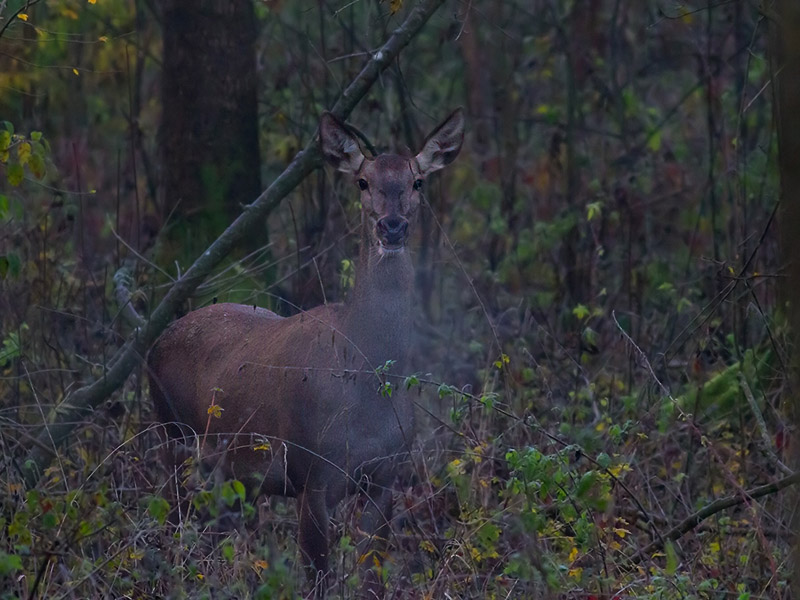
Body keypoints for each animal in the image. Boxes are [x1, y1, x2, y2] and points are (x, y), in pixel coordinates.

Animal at [147, 108, 466, 596]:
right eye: (363, 181)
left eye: (417, 182)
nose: (391, 226)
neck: (366, 380)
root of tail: (154, 343)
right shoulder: (310, 473)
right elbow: (317, 578)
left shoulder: (387, 476)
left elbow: (372, 576)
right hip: (173, 436)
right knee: (173, 526)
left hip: (231, 470)